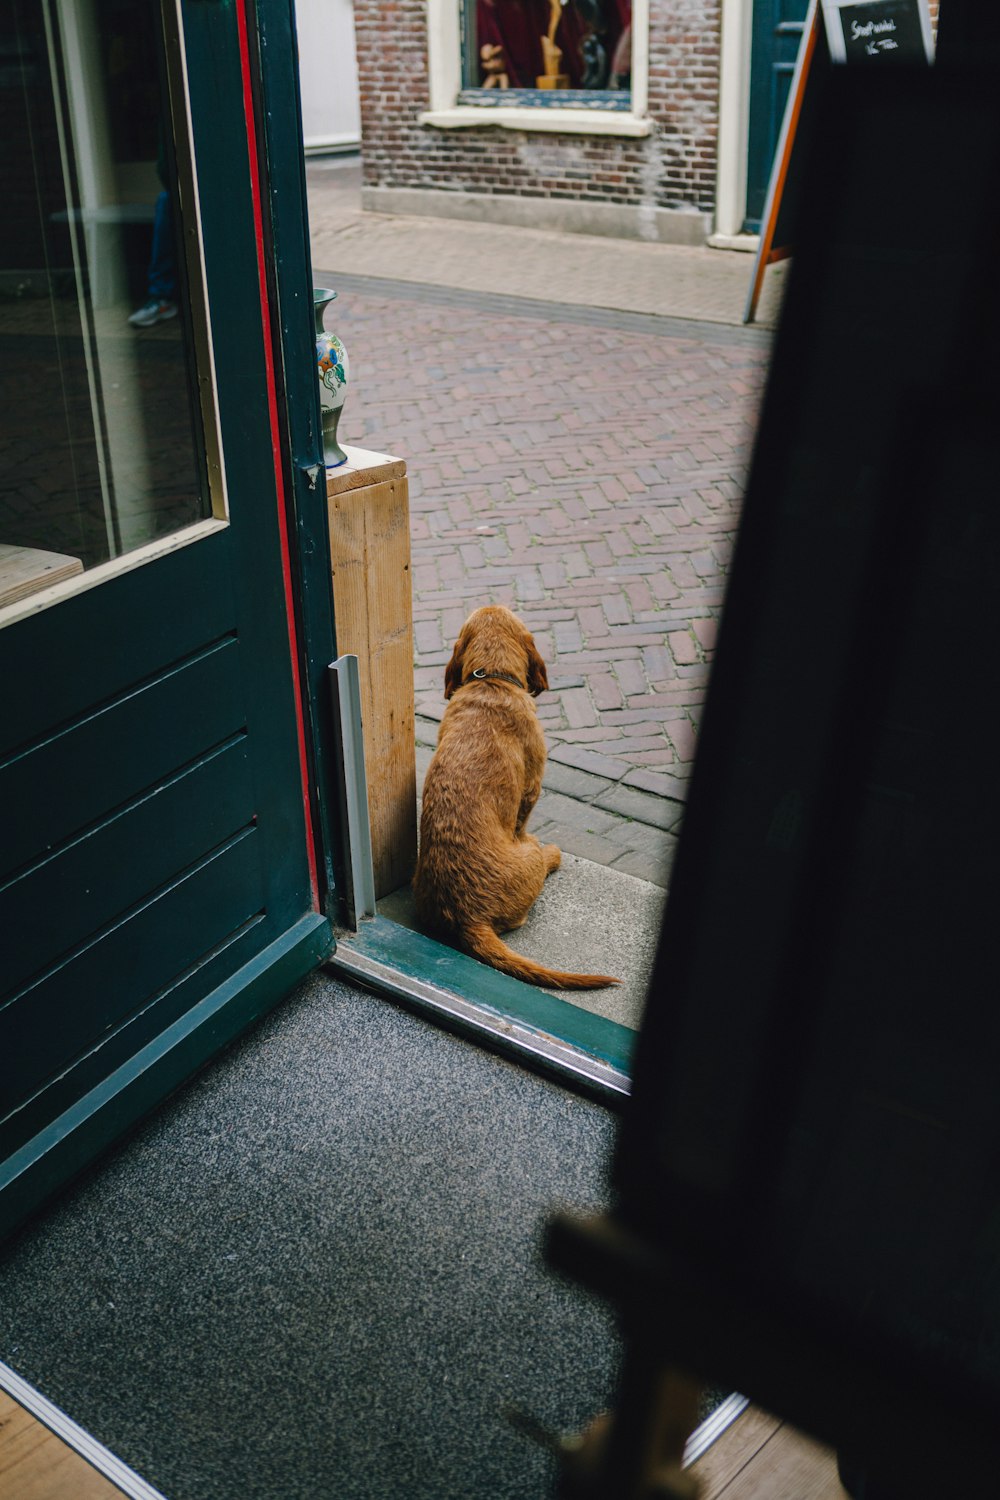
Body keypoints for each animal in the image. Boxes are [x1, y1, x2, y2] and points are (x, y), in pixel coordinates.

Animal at [413, 603, 617, 990]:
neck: (491, 681)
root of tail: (468, 917)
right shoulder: (532, 787)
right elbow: (523, 819)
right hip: (530, 861)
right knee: (539, 857)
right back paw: (550, 853)